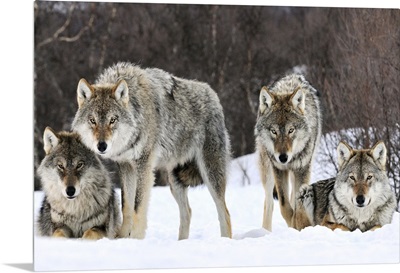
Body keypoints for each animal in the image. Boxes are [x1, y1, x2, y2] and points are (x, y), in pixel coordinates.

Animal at [72, 61, 231, 238]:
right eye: (92, 120)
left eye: (112, 120)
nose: (101, 146)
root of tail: (213, 95)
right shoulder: (126, 166)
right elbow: (126, 206)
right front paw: (122, 237)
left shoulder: (144, 165)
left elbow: (138, 207)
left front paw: (136, 238)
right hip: (174, 181)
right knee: (188, 212)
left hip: (210, 174)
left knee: (225, 213)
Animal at [256, 74, 322, 230]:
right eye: (273, 131)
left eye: (291, 130)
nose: (283, 157)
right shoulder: (279, 169)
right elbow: (284, 206)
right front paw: (293, 223)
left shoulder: (303, 169)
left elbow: (296, 206)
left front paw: (297, 225)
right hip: (268, 171)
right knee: (269, 203)